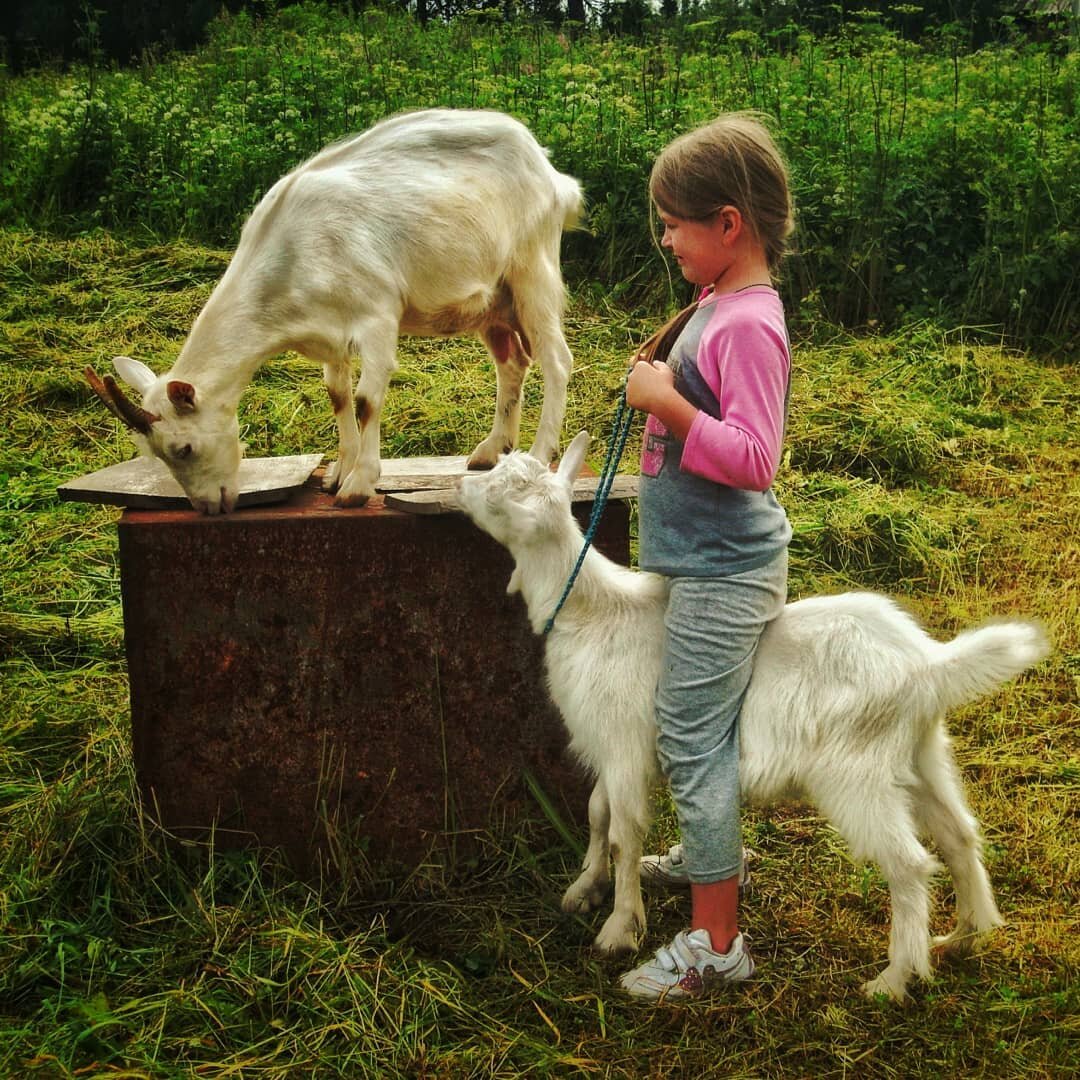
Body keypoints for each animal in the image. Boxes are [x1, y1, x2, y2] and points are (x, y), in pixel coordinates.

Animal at [86, 109, 583, 514]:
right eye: (155, 454)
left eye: (184, 449)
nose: (209, 508)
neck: (292, 254)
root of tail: (553, 174)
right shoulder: (327, 332)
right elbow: (338, 396)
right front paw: (337, 474)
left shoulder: (378, 314)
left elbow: (366, 400)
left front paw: (359, 486)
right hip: (492, 301)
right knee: (512, 361)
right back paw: (492, 451)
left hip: (532, 270)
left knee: (557, 359)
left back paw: (538, 455)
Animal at [460, 427, 1049, 993]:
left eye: (502, 493)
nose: (463, 484)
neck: (591, 611)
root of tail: (927, 665)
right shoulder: (612, 746)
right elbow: (598, 813)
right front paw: (584, 889)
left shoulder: (624, 745)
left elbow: (625, 832)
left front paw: (619, 928)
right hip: (919, 754)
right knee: (960, 834)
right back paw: (965, 936)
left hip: (856, 773)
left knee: (909, 863)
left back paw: (894, 978)